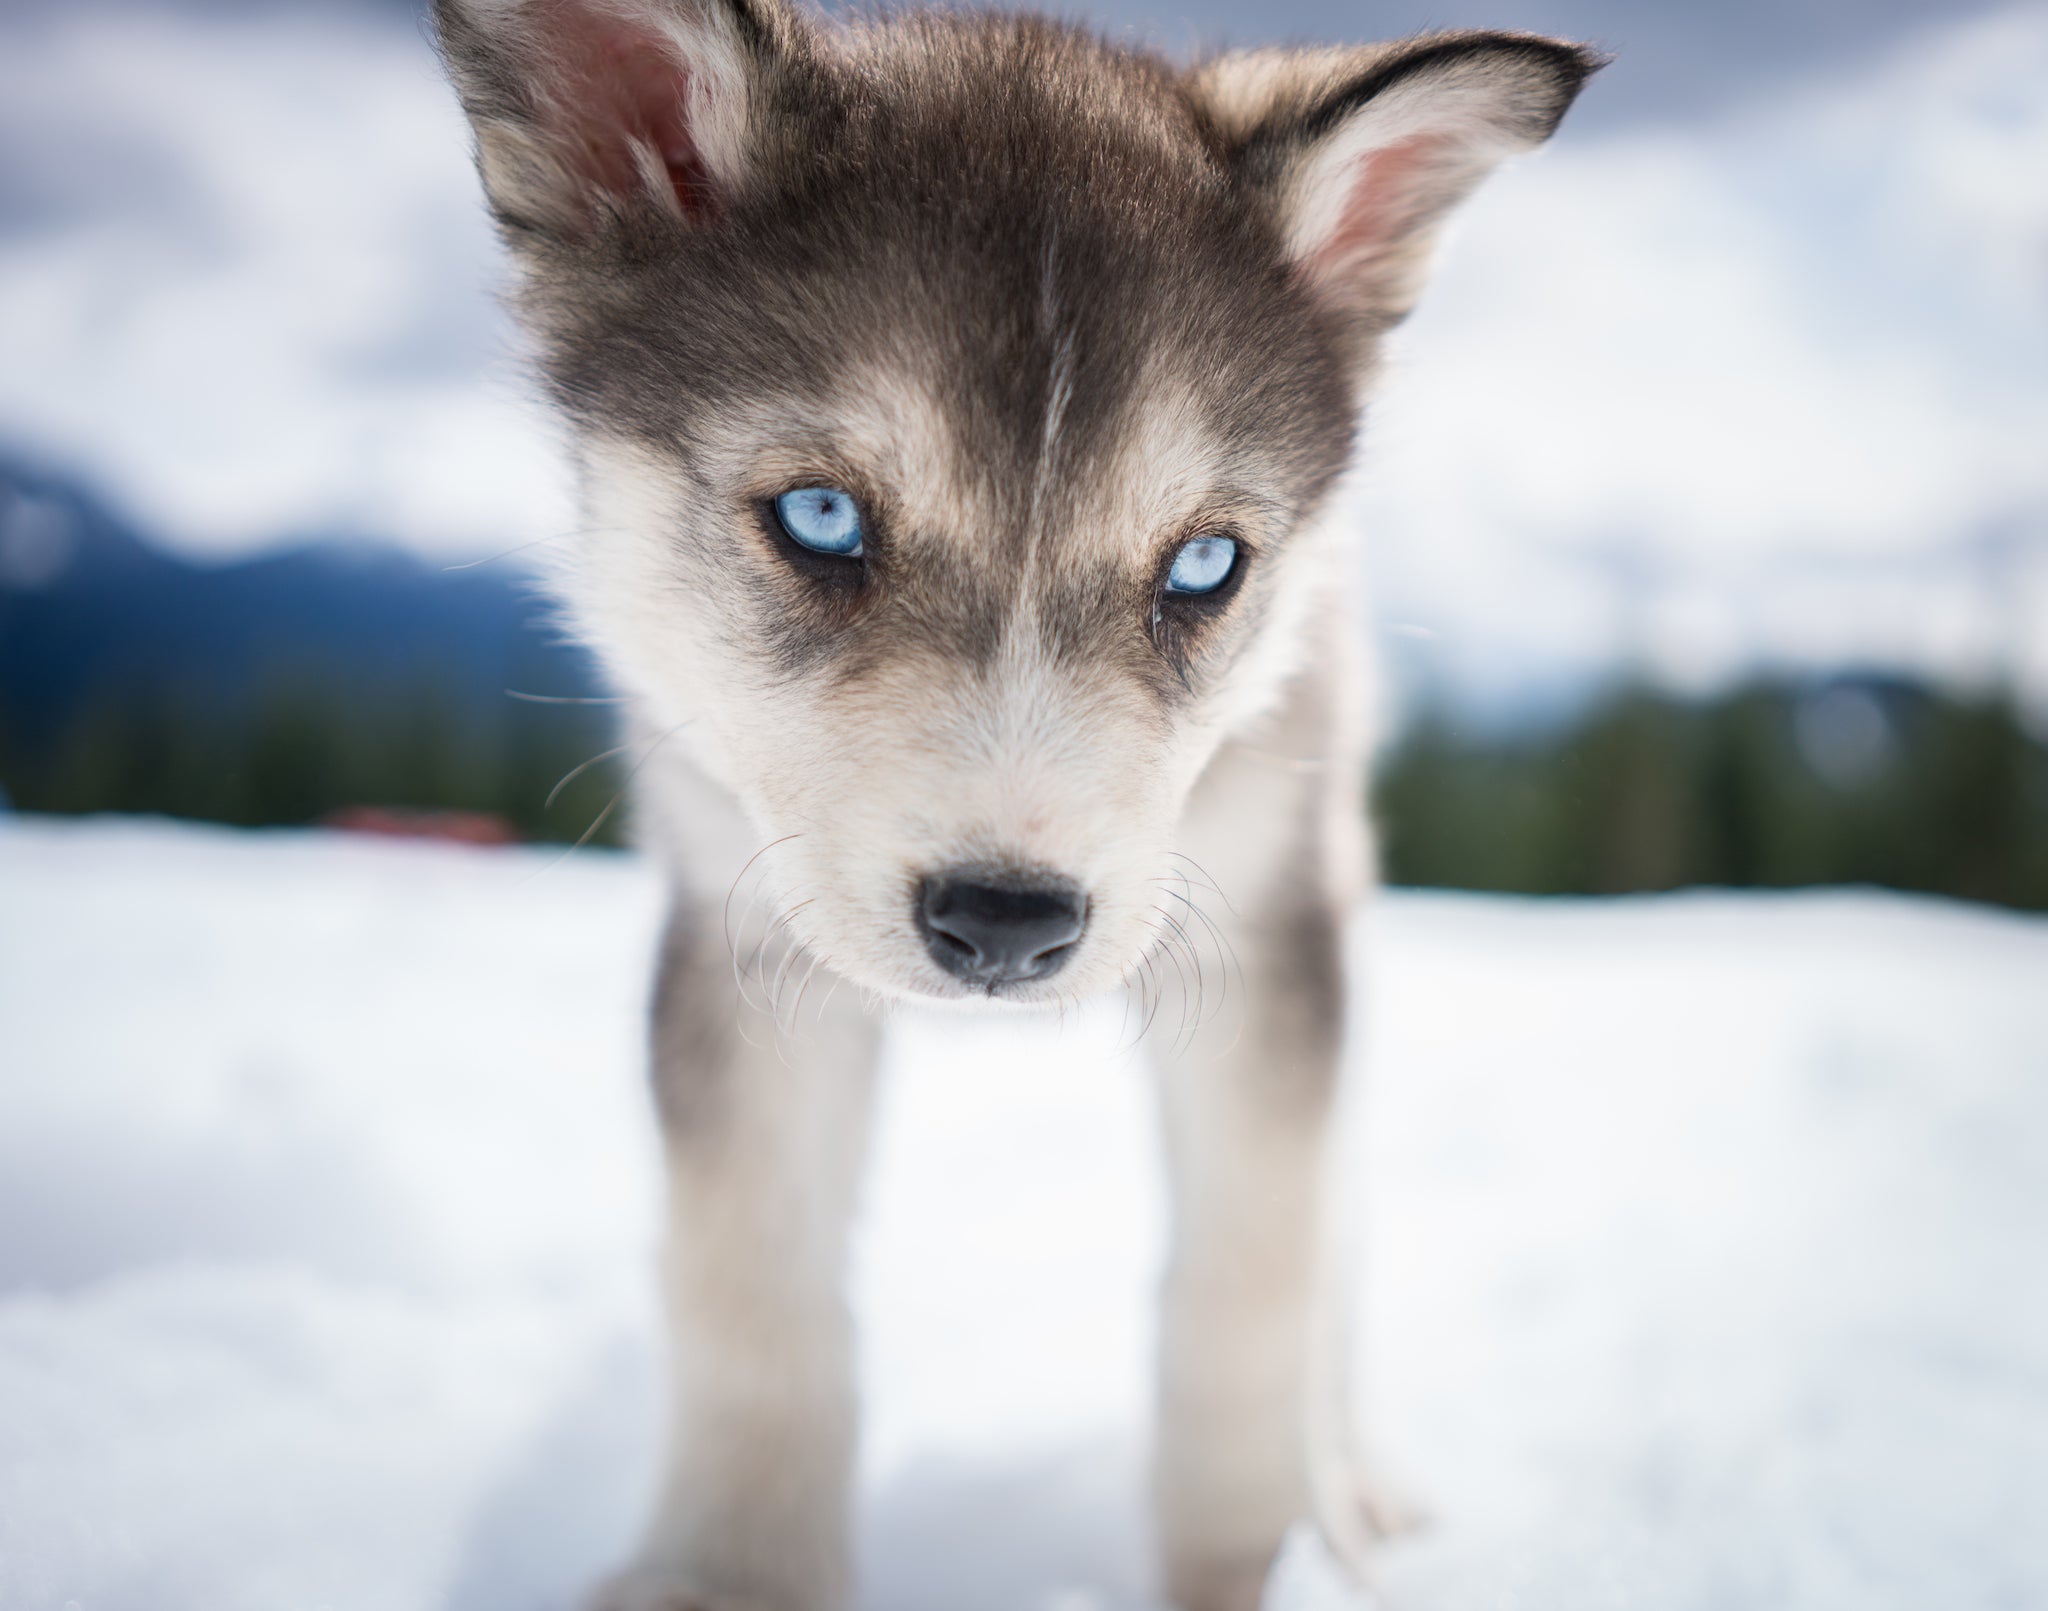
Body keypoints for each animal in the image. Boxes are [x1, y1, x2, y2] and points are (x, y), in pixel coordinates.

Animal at [436, 6, 1597, 1604]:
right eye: (821, 518)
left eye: (1204, 564)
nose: (1005, 921)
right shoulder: (741, 934)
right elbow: (753, 1295)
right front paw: (728, 1577)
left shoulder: (1262, 940)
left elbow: (1248, 1301)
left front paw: (1253, 1567)